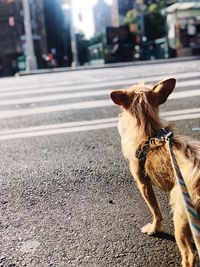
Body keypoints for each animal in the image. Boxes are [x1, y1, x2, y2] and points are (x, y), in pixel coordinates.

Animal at [110, 78, 200, 267]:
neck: (149, 132)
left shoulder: (142, 183)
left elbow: (155, 210)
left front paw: (153, 229)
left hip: (181, 213)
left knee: (189, 255)